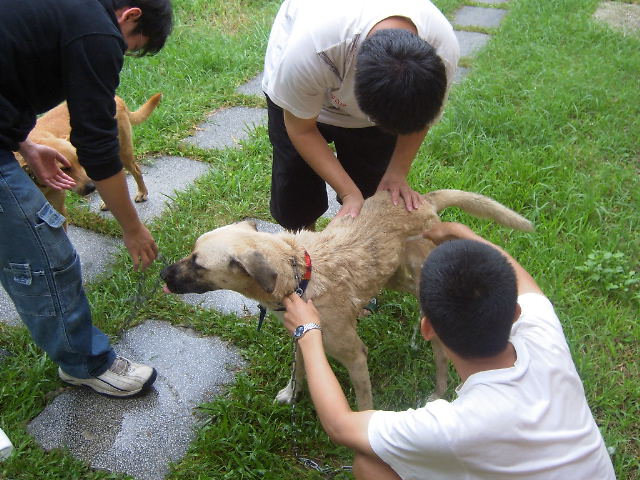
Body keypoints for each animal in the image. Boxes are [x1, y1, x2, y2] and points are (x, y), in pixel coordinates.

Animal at [16, 93, 162, 226]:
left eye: (79, 161)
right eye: (63, 168)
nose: (91, 188)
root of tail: (117, 98)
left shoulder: (59, 212)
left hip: (121, 153)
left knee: (136, 171)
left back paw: (142, 192)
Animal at [161, 189, 534, 410]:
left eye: (197, 263)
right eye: (192, 253)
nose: (163, 274)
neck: (298, 276)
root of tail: (423, 200)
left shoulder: (355, 355)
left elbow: (364, 400)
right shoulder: (302, 336)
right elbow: (299, 370)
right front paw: (292, 393)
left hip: (420, 285)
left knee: (441, 354)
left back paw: (439, 388)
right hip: (394, 276)